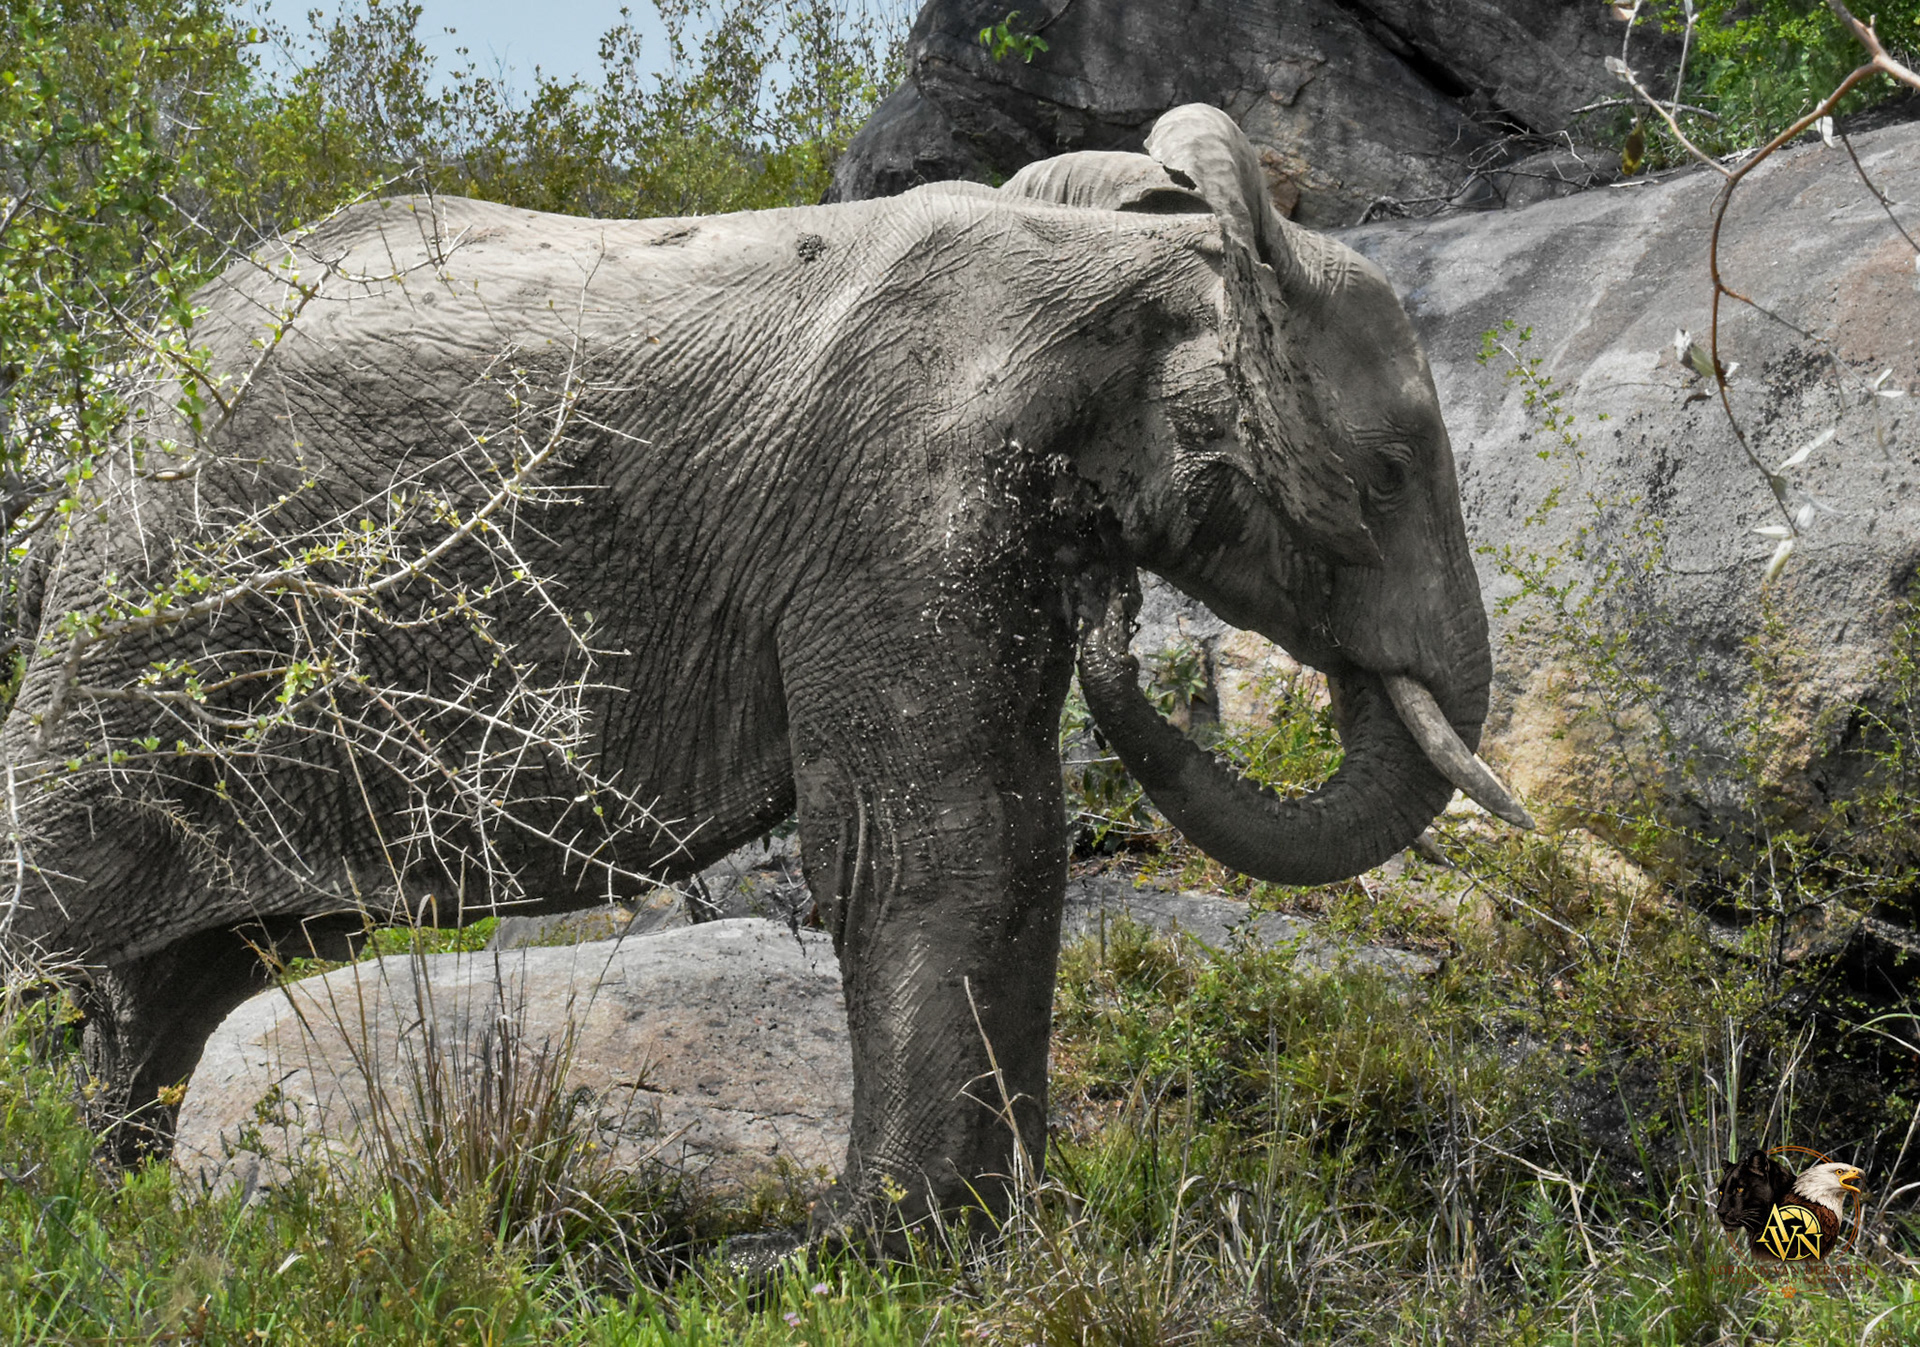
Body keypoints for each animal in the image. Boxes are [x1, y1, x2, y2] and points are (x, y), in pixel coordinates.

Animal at [0, 103, 1527, 1230]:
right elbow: (941, 842)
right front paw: (882, 1257)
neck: (1149, 255)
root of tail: (113, 396)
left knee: (191, 975)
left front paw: (999, 1241)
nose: (1118, 624)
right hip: (138, 617)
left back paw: (117, 1209)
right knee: (62, 917)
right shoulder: (898, 501)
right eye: (1393, 475)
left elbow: (993, 839)